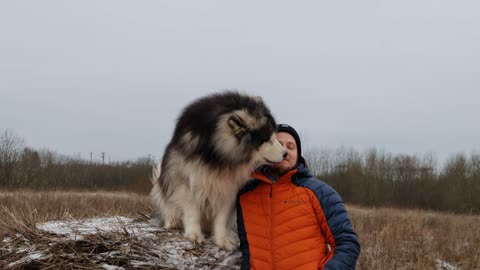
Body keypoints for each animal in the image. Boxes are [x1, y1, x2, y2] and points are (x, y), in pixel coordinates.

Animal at [150, 91, 284, 251]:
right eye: (267, 140)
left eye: (275, 137)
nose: (285, 153)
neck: (217, 155)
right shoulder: (187, 182)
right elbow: (192, 212)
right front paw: (194, 235)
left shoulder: (229, 189)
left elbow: (222, 217)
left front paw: (222, 240)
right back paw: (172, 222)